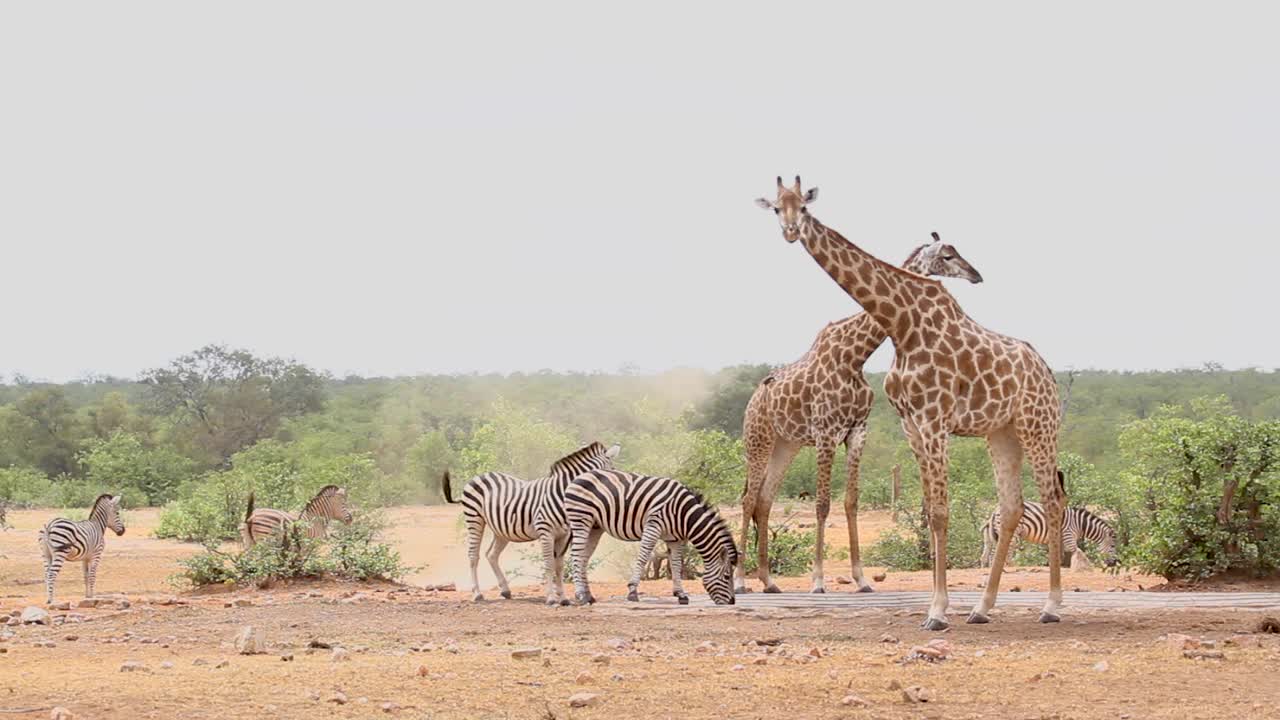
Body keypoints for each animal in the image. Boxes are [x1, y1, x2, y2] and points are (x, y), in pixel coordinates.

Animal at [440, 440, 619, 602]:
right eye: (611, 471)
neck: (562, 494)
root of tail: (479, 476)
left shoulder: (564, 535)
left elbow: (559, 566)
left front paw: (562, 598)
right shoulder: (546, 531)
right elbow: (549, 564)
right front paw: (551, 598)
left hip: (501, 530)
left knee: (491, 554)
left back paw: (505, 590)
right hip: (474, 518)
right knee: (473, 555)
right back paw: (477, 594)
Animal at [563, 468, 737, 602]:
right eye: (727, 577)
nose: (732, 602)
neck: (684, 515)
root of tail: (579, 477)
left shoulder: (675, 538)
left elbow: (676, 564)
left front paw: (680, 594)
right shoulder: (654, 525)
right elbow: (644, 556)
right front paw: (632, 591)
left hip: (595, 527)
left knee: (584, 557)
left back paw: (588, 595)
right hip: (581, 520)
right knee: (576, 556)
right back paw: (581, 595)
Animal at [737, 233, 983, 591]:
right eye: (948, 256)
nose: (976, 275)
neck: (854, 356)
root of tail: (753, 400)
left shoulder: (856, 431)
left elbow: (851, 502)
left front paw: (862, 578)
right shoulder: (826, 432)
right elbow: (822, 504)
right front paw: (818, 580)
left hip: (787, 444)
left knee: (764, 500)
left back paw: (769, 581)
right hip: (758, 441)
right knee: (747, 499)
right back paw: (741, 580)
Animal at [983, 502, 1116, 568]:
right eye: (1113, 546)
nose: (1113, 564)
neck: (1079, 523)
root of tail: (995, 511)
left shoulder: (1061, 537)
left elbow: (1060, 553)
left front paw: (1059, 566)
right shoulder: (1068, 533)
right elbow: (1076, 551)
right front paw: (1083, 566)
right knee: (1001, 551)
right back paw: (1007, 567)